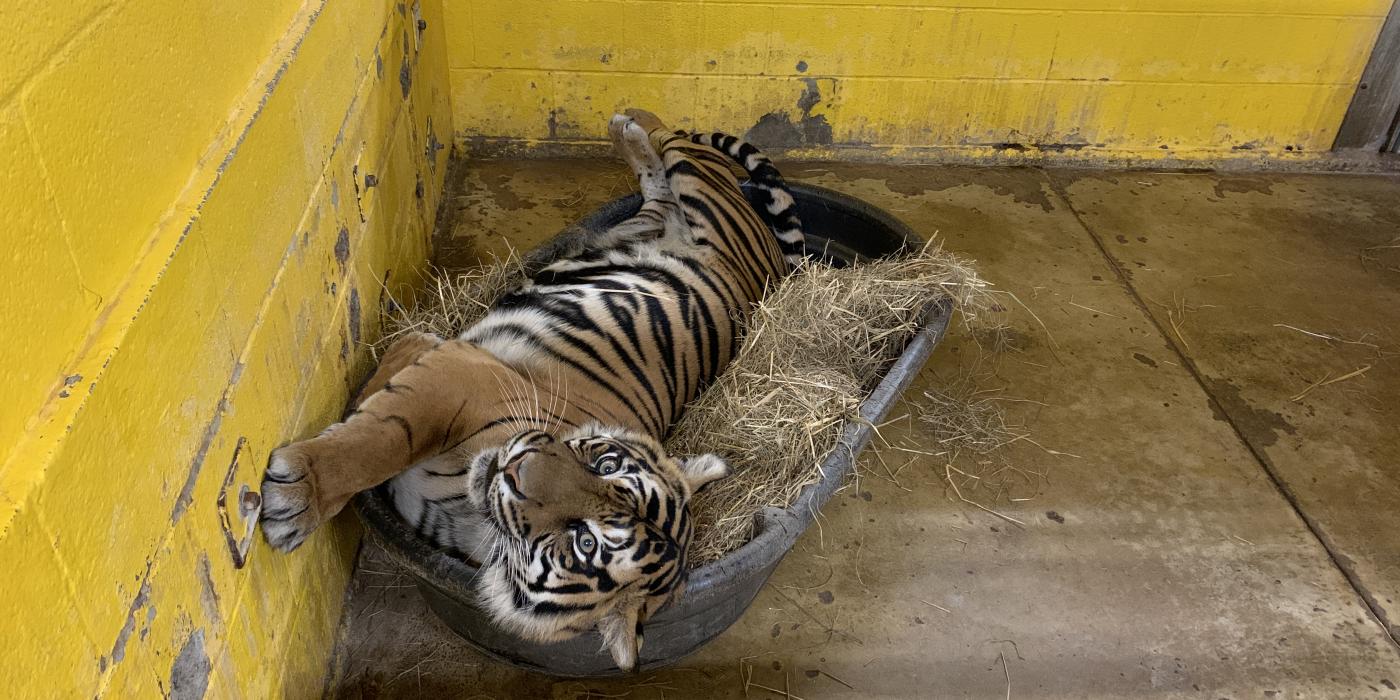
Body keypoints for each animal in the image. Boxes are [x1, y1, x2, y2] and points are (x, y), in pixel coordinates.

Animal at [261, 106, 806, 669]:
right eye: (605, 463)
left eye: (585, 545)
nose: (517, 467)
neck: (469, 514)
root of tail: (777, 264)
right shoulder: (460, 373)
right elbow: (383, 436)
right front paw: (301, 494)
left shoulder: (454, 372)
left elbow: (386, 424)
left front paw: (297, 493)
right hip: (699, 191)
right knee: (673, 144)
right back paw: (628, 122)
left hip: (663, 211)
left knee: (658, 181)